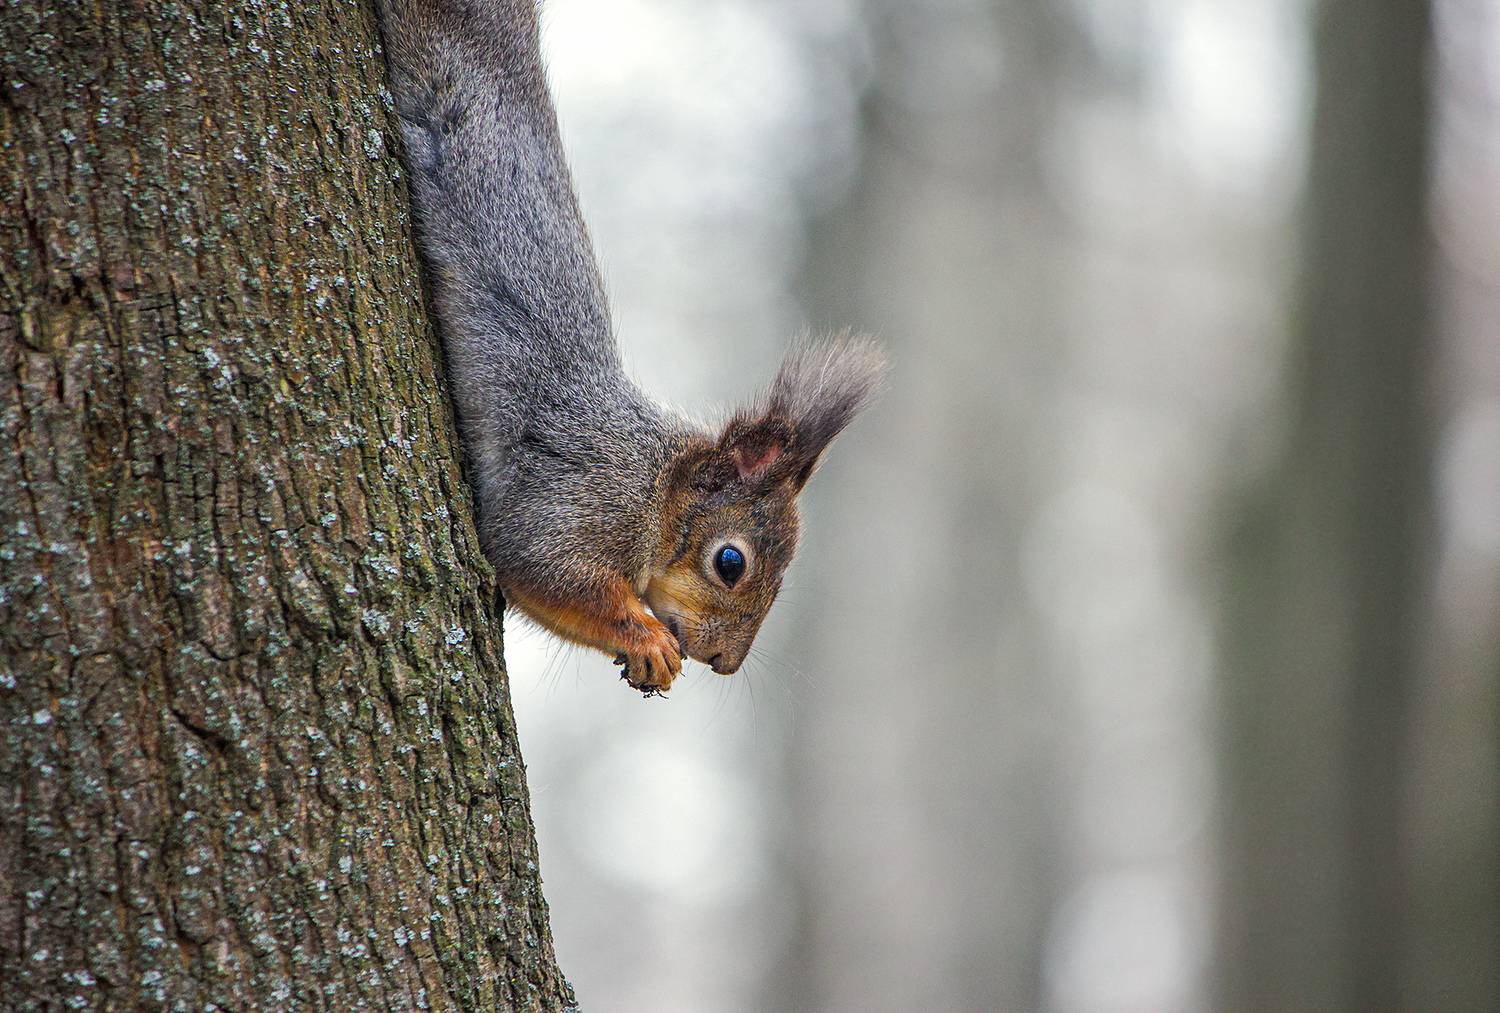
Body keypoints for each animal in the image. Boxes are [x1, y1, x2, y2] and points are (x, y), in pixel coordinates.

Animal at [375, 0, 884, 695]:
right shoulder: (587, 495)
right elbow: (540, 564)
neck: (660, 479)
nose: (725, 663)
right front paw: (646, 636)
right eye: (731, 562)